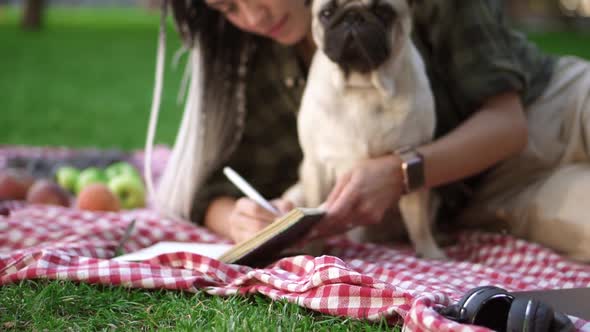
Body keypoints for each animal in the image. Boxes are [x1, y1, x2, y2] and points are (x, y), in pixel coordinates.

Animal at [284, 0, 446, 258]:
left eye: (384, 11)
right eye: (327, 13)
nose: (352, 16)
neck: (364, 87)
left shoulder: (412, 160)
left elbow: (418, 222)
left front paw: (429, 252)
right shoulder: (316, 166)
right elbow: (315, 216)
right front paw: (312, 250)